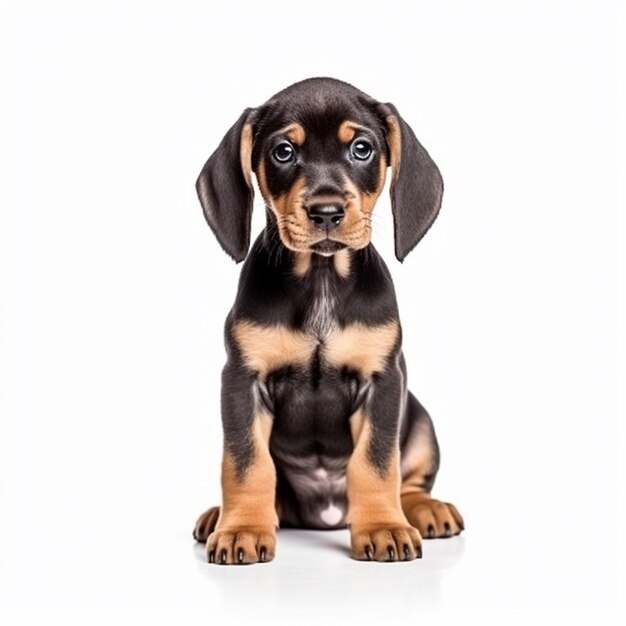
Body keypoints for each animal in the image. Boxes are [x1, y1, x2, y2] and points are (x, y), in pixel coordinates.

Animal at [193, 77, 460, 560]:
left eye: (361, 148)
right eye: (283, 152)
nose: (327, 211)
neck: (320, 279)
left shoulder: (383, 382)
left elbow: (376, 463)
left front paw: (383, 527)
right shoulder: (241, 380)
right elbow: (246, 463)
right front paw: (242, 528)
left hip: (420, 417)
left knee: (409, 482)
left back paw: (423, 510)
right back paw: (219, 516)